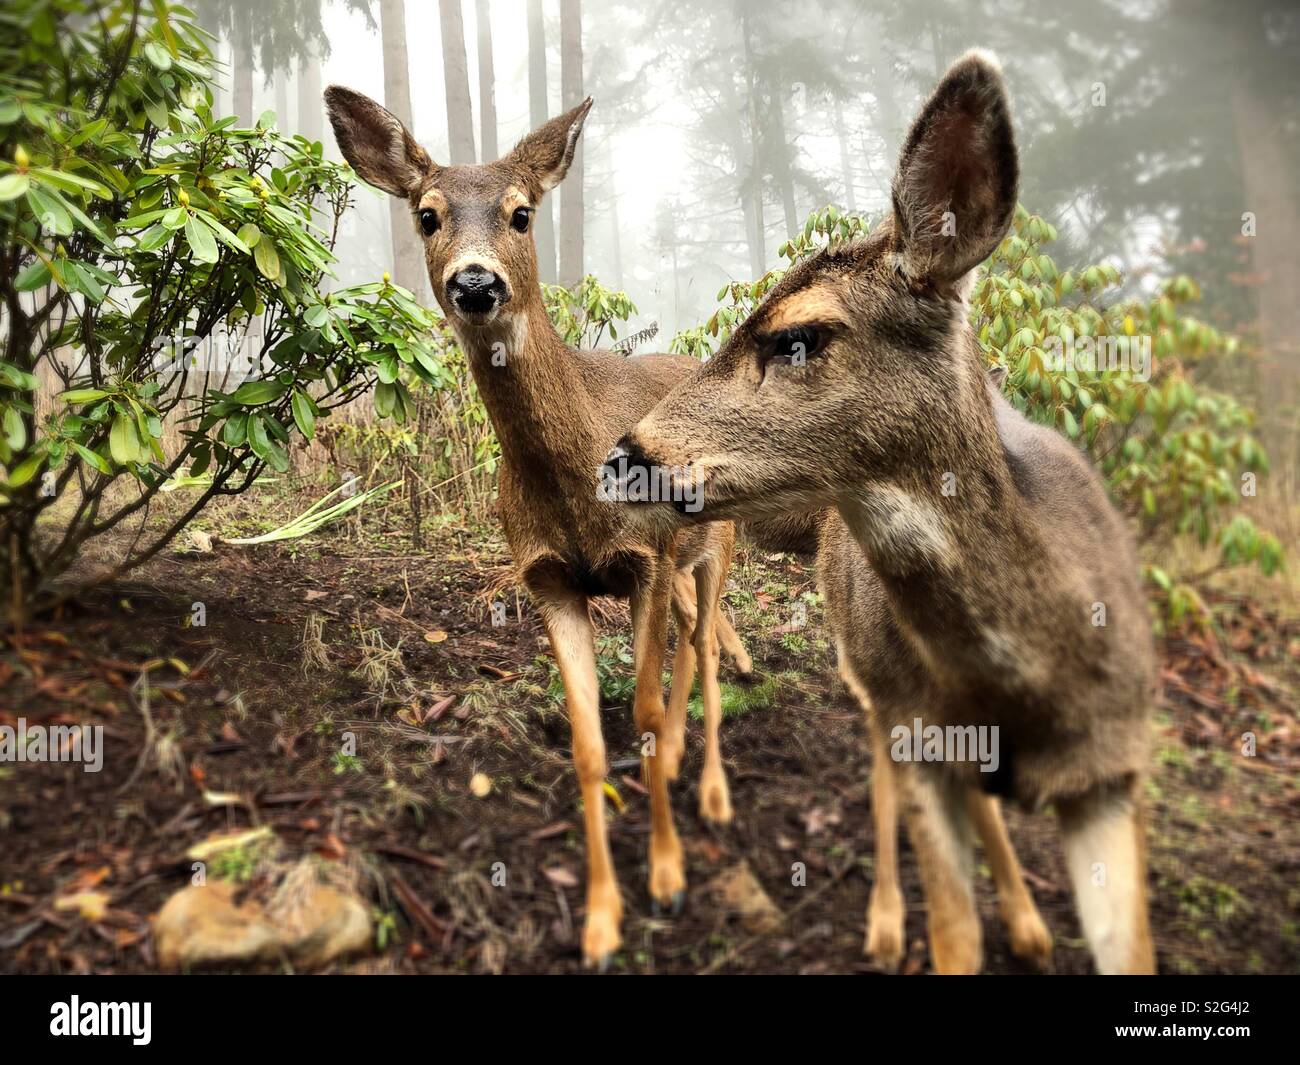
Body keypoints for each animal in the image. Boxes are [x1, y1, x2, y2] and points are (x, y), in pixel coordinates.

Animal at [322, 85, 759, 967]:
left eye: (522, 213)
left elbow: (645, 713)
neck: (574, 478)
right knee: (691, 639)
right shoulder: (548, 576)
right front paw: (600, 918)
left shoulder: (644, 559)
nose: (476, 281)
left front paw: (668, 875)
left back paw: (711, 789)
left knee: (704, 643)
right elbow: (590, 738)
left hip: (712, 545)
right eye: (427, 215)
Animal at [605, 54, 1159, 977]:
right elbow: (954, 935)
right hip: (868, 670)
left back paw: (1024, 918)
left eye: (797, 336)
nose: (623, 458)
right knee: (881, 771)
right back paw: (889, 917)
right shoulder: (917, 728)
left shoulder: (1112, 773)